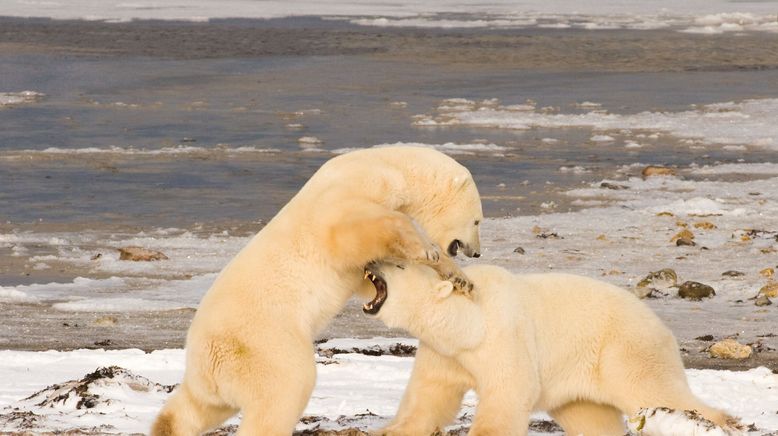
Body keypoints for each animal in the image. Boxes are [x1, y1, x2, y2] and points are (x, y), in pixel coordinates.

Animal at [150, 147, 478, 436]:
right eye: (477, 220)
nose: (476, 252)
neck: (386, 165)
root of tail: (209, 360)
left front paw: (460, 279)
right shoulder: (350, 193)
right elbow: (354, 232)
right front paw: (427, 249)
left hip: (210, 382)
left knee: (194, 409)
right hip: (264, 346)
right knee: (285, 390)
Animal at [364, 262, 740, 436]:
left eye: (397, 265)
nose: (370, 263)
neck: (469, 322)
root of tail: (662, 327)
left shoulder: (504, 336)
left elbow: (510, 390)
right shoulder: (443, 352)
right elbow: (430, 396)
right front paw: (391, 429)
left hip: (624, 349)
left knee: (653, 389)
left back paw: (724, 422)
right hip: (579, 377)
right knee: (592, 419)